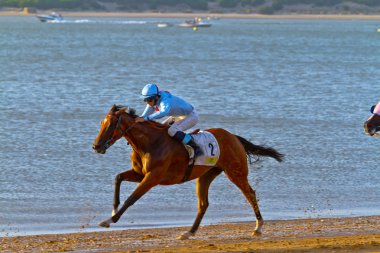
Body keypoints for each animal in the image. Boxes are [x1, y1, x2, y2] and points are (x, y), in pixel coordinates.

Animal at [92, 104, 282, 239]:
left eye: (111, 125)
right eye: (101, 123)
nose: (96, 146)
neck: (149, 143)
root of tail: (234, 137)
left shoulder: (153, 177)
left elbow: (132, 198)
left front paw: (109, 220)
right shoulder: (140, 174)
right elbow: (118, 178)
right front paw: (113, 210)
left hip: (236, 172)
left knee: (250, 194)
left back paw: (258, 227)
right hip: (205, 176)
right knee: (203, 204)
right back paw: (189, 232)